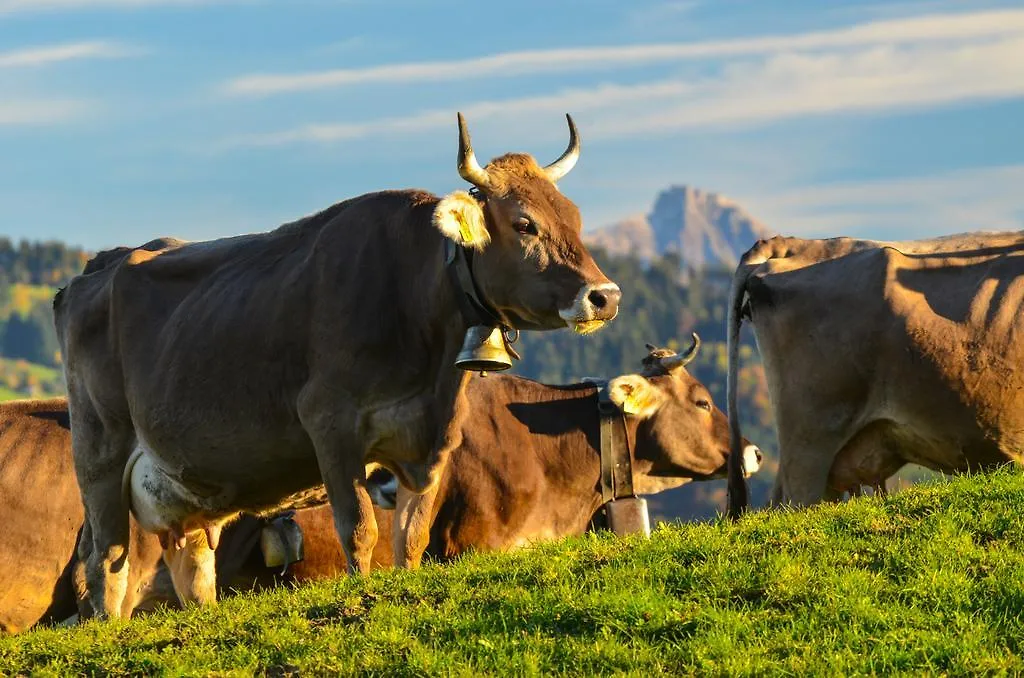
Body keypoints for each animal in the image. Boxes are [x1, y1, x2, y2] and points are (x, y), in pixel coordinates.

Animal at [56, 112, 618, 622]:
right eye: (524, 223)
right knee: (106, 562)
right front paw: (362, 593)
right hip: (99, 455)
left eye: (574, 218)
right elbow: (360, 526)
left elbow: (412, 534)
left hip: (181, 488)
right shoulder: (330, 423)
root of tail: (101, 265)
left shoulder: (431, 442)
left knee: (191, 564)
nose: (605, 296)